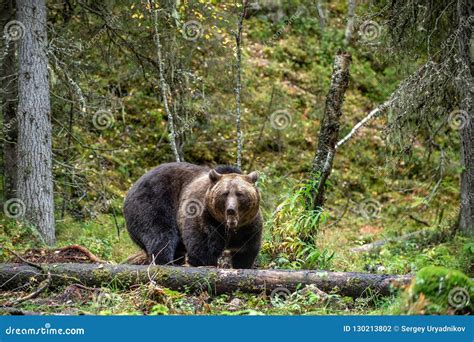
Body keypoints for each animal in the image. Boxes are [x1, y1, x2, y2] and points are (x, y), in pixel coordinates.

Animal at [124, 162, 262, 268]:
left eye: (240, 193)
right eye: (225, 193)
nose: (231, 210)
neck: (228, 226)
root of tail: (132, 187)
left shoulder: (248, 226)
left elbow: (246, 250)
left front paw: (243, 265)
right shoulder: (202, 216)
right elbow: (201, 246)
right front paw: (205, 263)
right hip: (154, 201)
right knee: (159, 233)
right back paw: (166, 262)